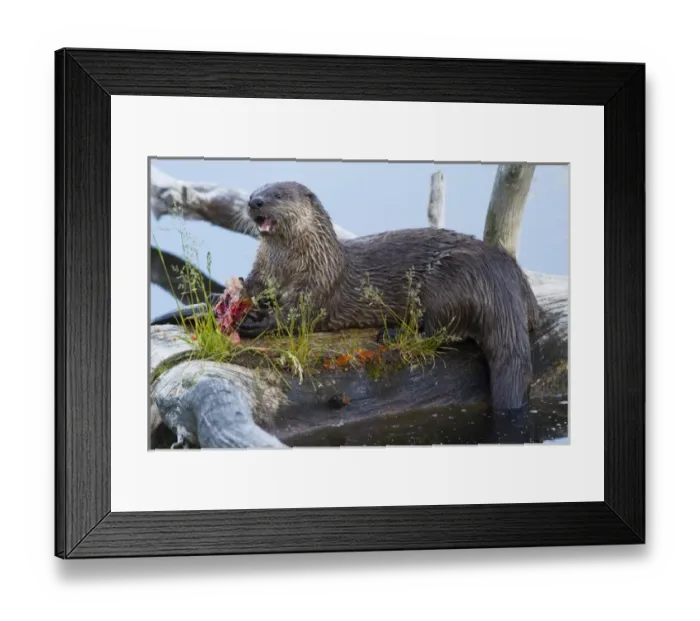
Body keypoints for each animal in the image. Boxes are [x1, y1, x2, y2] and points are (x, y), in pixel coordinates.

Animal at [237, 181, 541, 417]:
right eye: (255, 192)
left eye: (278, 195)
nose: (255, 201)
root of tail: (502, 283)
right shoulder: (262, 274)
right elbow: (250, 288)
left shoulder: (317, 285)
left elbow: (296, 315)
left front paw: (256, 322)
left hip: (448, 283)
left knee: (439, 332)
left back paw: (392, 334)